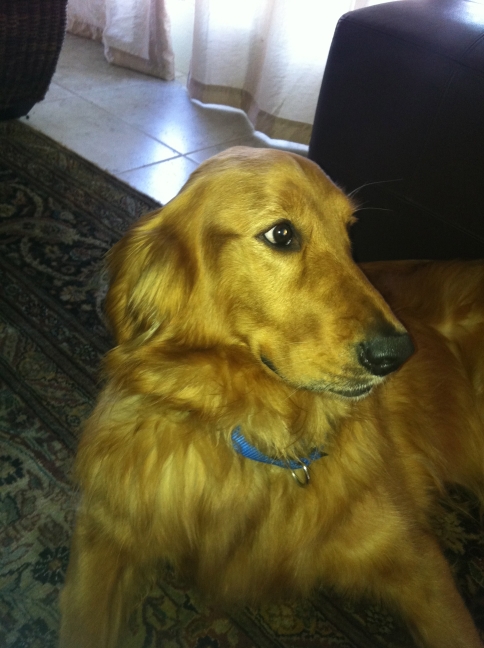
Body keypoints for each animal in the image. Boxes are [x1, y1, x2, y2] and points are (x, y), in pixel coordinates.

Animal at [59, 147, 484, 648]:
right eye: (281, 234)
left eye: (348, 230)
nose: (396, 354)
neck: (257, 429)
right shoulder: (106, 532)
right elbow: (83, 623)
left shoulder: (418, 561)